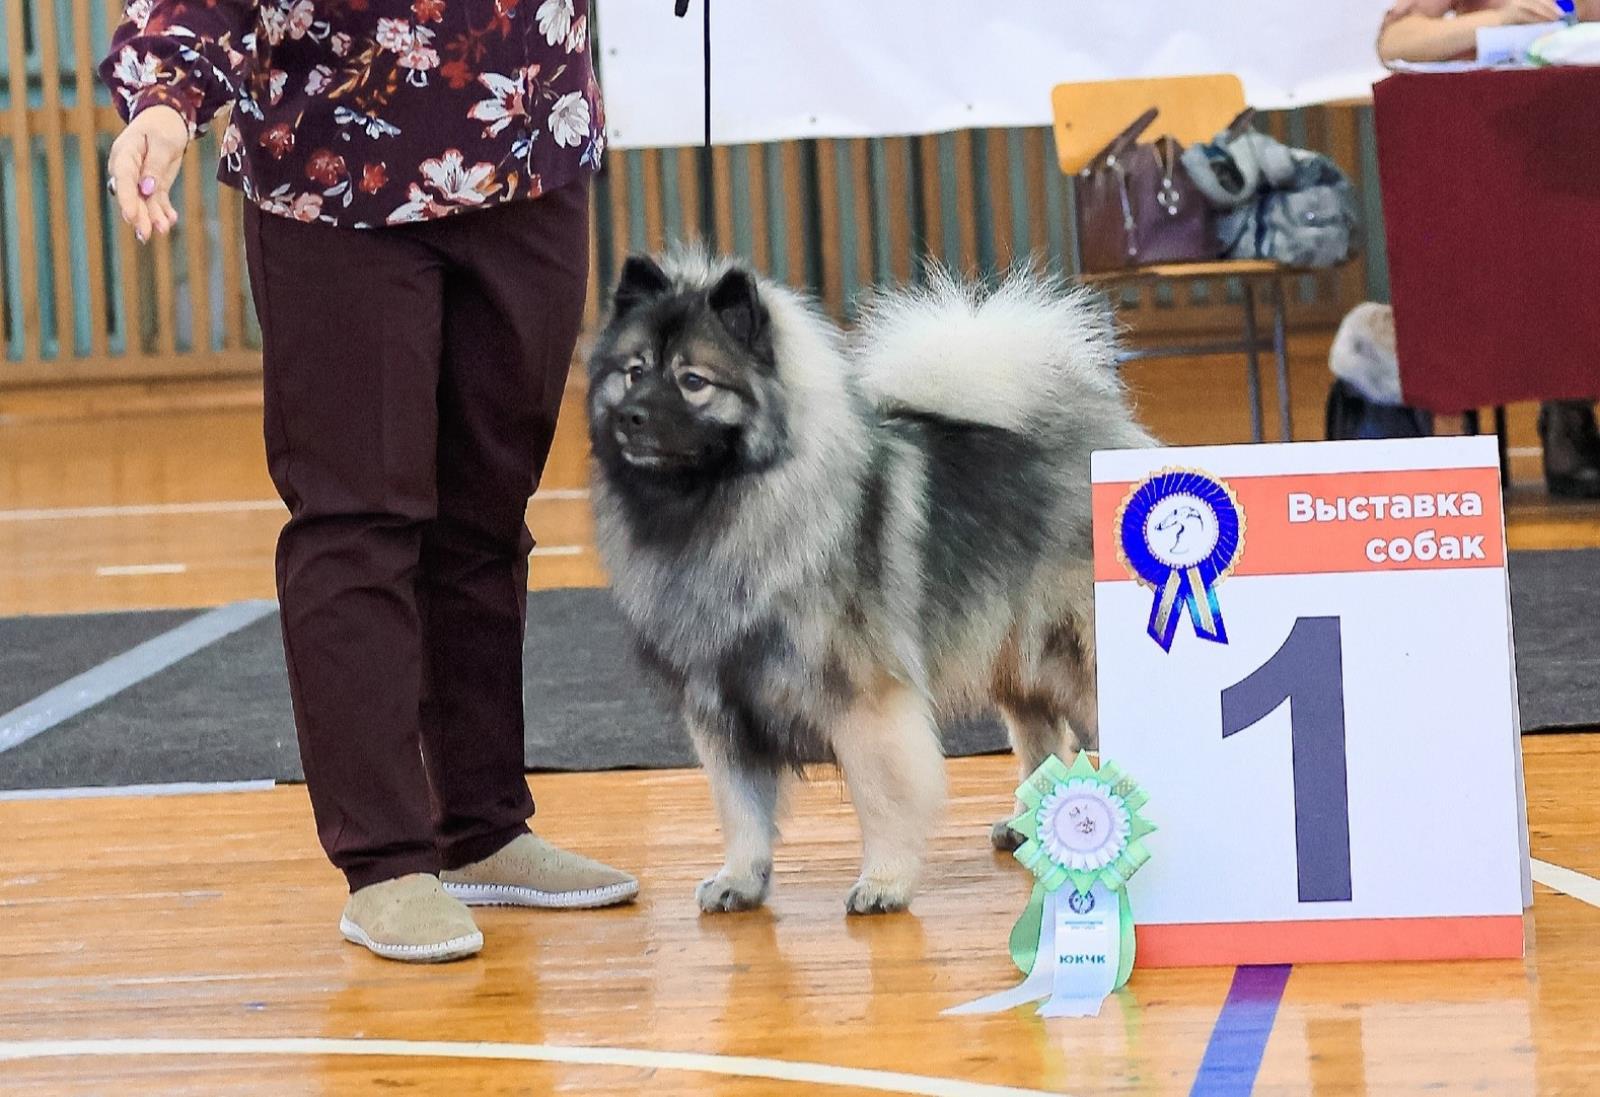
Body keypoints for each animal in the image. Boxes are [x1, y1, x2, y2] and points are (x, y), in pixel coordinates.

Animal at [588, 254, 1152, 914]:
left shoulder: (865, 700)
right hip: (1020, 655)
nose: (631, 416)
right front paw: (740, 879)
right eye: (634, 372)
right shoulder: (721, 703)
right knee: (1042, 736)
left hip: (1075, 652)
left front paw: (884, 882)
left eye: (693, 380)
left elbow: (882, 798)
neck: (716, 513)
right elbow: (740, 807)